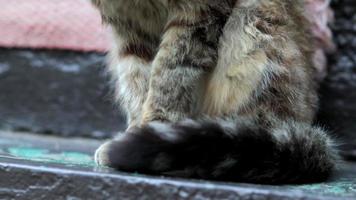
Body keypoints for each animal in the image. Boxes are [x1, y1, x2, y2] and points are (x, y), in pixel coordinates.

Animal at [91, 0, 336, 184]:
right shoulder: (130, 29)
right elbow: (137, 82)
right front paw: (135, 132)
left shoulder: (197, 12)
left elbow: (170, 75)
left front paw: (152, 127)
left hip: (254, 23)